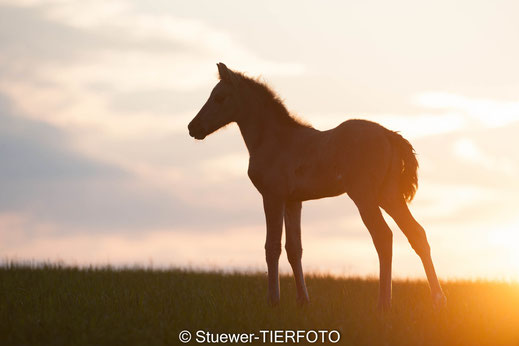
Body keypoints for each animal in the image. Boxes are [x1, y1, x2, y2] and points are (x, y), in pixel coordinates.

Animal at [189, 62, 448, 310]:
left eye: (219, 97)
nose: (193, 127)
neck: (274, 140)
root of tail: (389, 135)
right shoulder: (293, 201)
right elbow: (294, 249)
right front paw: (303, 301)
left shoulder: (272, 197)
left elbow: (272, 247)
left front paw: (273, 301)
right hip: (389, 196)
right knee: (417, 234)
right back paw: (438, 299)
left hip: (364, 197)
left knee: (384, 236)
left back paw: (383, 304)